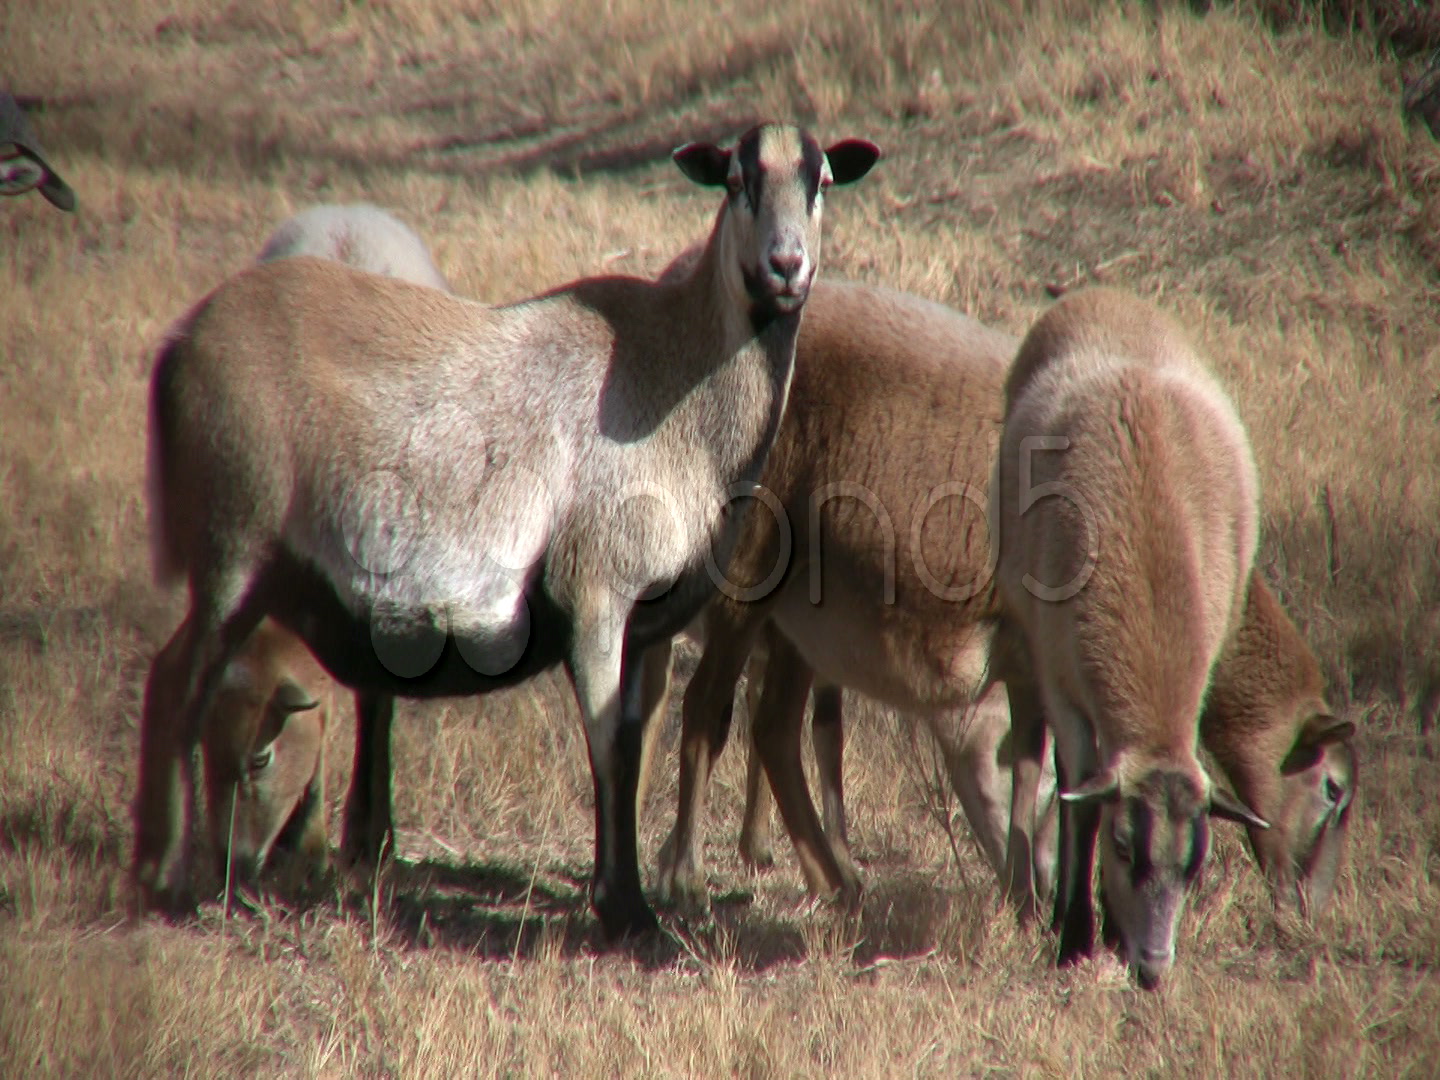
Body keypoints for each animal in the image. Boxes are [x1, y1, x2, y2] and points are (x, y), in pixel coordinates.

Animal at [132, 122, 879, 940]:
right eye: (737, 181)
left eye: (821, 182)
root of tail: (180, 345)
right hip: (233, 540)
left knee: (185, 681)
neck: (676, 379)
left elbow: (631, 746)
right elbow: (609, 748)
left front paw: (618, 897)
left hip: (251, 565)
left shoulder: (646, 622)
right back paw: (166, 879)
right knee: (177, 682)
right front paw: (628, 914)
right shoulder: (595, 593)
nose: (786, 267)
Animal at [992, 287, 1267, 989]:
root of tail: (1102, 293)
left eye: (1197, 865)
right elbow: (1080, 796)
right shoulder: (1062, 682)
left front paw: (1110, 936)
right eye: (1123, 847)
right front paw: (1074, 937)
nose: (1152, 970)